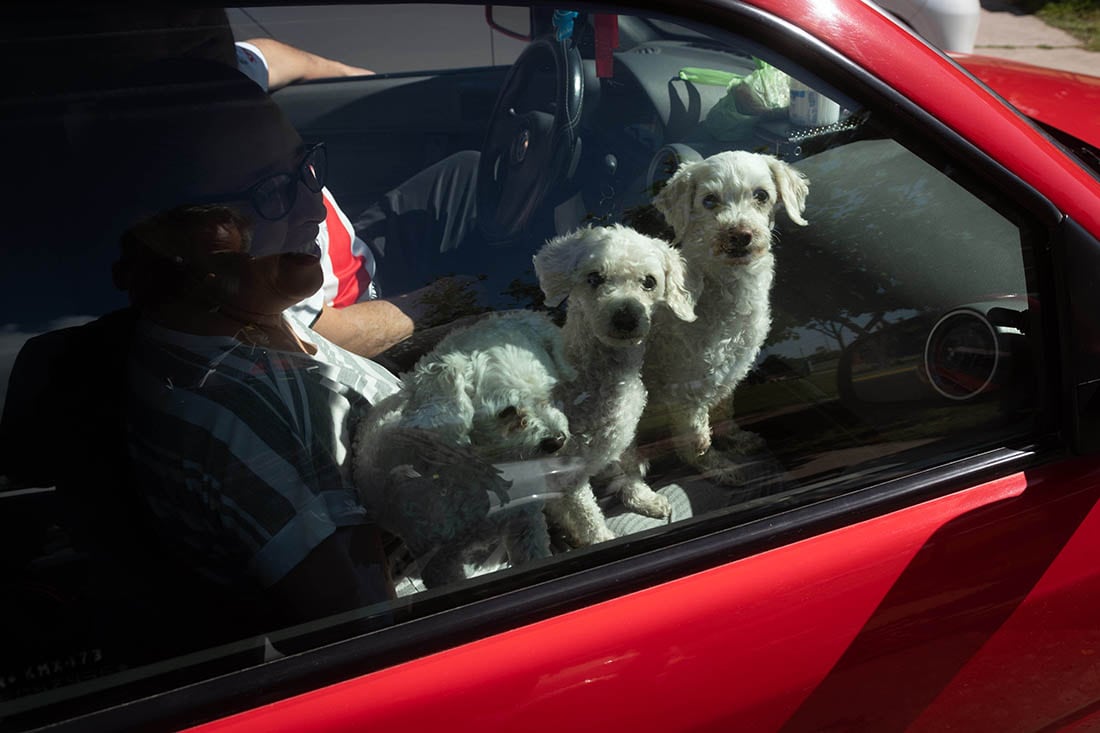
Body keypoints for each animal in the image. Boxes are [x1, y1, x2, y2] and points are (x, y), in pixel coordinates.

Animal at [532, 225, 695, 545]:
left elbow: (629, 465)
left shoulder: (624, 431)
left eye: (649, 282)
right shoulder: (567, 469)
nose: (626, 316)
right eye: (594, 278)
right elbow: (585, 511)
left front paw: (643, 498)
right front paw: (600, 539)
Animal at [642, 149, 814, 482]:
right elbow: (695, 440)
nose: (740, 235)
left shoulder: (730, 371)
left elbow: (724, 411)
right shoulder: (686, 391)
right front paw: (717, 468)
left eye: (761, 195)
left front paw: (737, 439)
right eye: (709, 200)